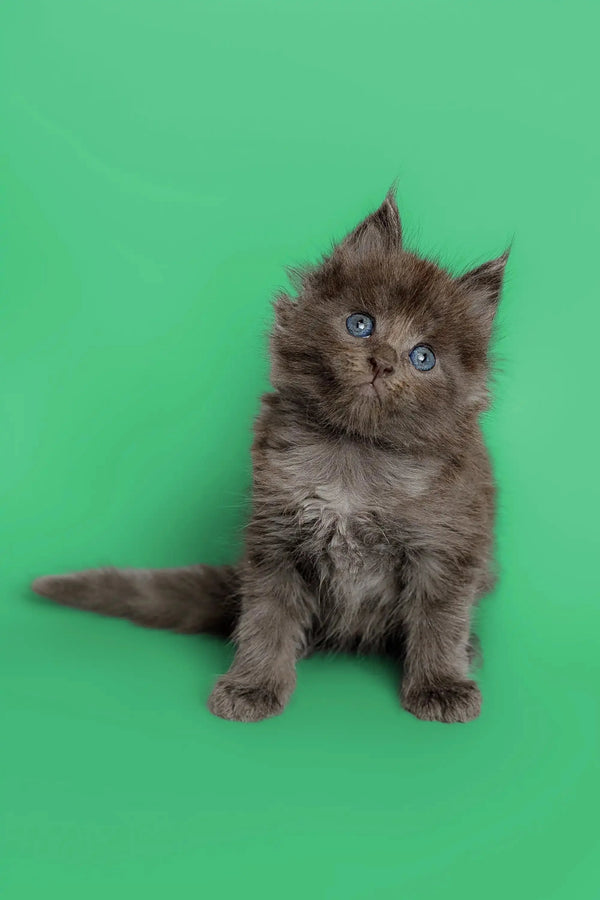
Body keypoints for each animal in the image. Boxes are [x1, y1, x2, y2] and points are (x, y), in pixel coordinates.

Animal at [32, 190, 508, 724]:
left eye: (423, 357)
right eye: (360, 324)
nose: (382, 361)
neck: (353, 456)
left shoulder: (447, 547)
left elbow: (439, 621)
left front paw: (441, 685)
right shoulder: (276, 537)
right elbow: (267, 619)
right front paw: (253, 685)